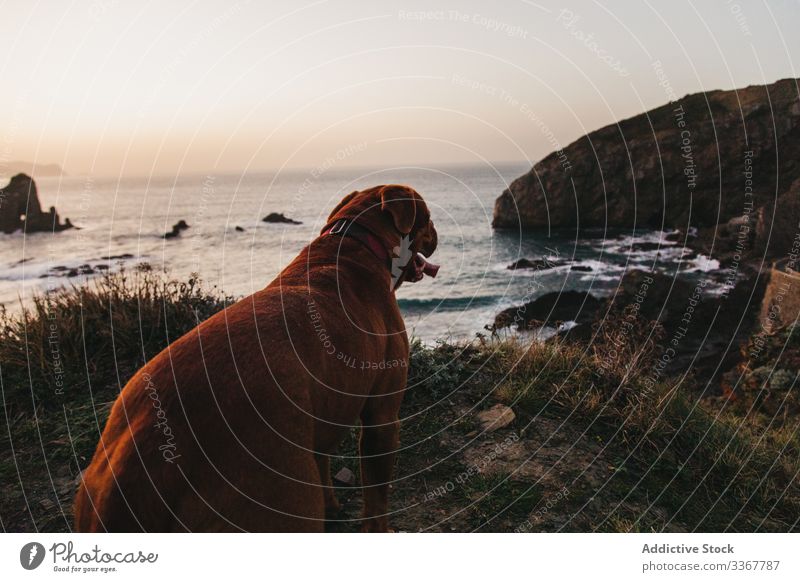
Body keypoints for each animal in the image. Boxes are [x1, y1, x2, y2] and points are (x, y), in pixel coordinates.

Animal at [71, 186, 438, 532]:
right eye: (428, 218)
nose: (437, 230)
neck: (352, 243)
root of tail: (139, 461)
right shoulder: (382, 418)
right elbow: (376, 498)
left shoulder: (320, 412)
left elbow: (323, 459)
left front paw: (332, 506)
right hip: (276, 498)